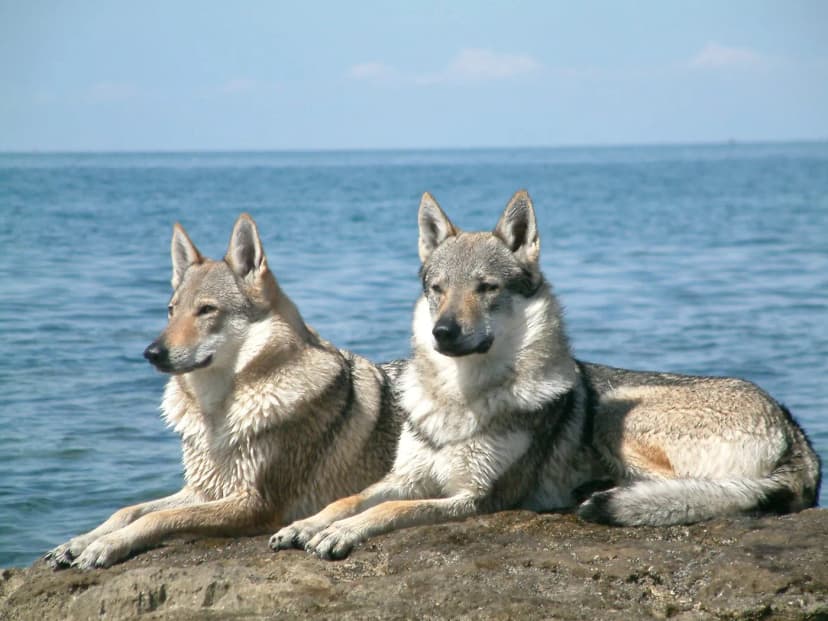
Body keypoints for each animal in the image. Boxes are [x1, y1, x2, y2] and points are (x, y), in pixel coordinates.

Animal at [45, 213, 401, 569]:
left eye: (206, 310)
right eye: (171, 310)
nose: (151, 353)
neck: (216, 413)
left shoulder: (254, 503)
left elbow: (157, 518)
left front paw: (105, 545)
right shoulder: (204, 489)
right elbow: (128, 510)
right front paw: (79, 542)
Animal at [270, 190, 821, 560]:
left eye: (486, 288)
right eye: (437, 289)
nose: (442, 332)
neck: (461, 399)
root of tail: (797, 431)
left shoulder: (474, 498)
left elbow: (388, 512)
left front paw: (338, 533)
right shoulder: (406, 476)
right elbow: (351, 498)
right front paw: (307, 525)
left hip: (617, 418)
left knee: (706, 492)